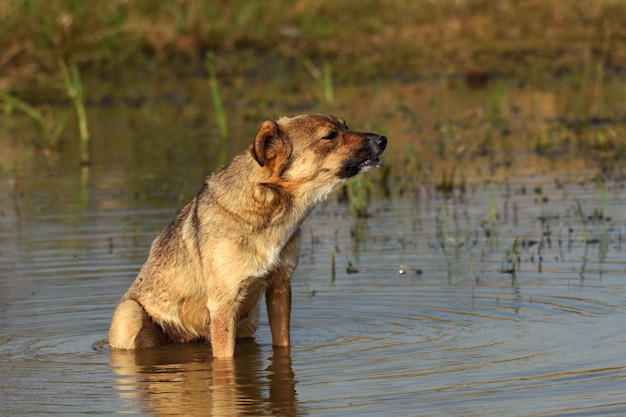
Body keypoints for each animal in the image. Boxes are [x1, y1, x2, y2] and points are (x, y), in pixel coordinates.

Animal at [109, 112, 388, 356]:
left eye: (345, 126)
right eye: (330, 135)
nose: (383, 139)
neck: (269, 211)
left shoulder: (280, 287)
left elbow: (282, 344)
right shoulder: (223, 305)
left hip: (248, 321)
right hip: (130, 316)